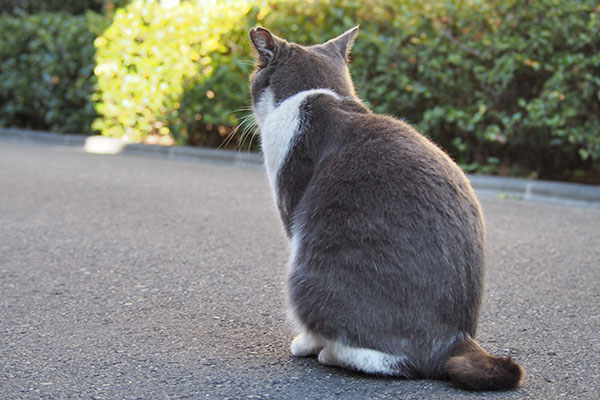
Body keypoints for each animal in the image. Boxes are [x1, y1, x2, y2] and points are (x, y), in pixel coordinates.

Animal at [248, 25, 524, 390]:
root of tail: (456, 341)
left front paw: (305, 344)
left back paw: (329, 353)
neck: (316, 94)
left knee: (400, 362)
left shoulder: (292, 207)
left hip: (308, 274)